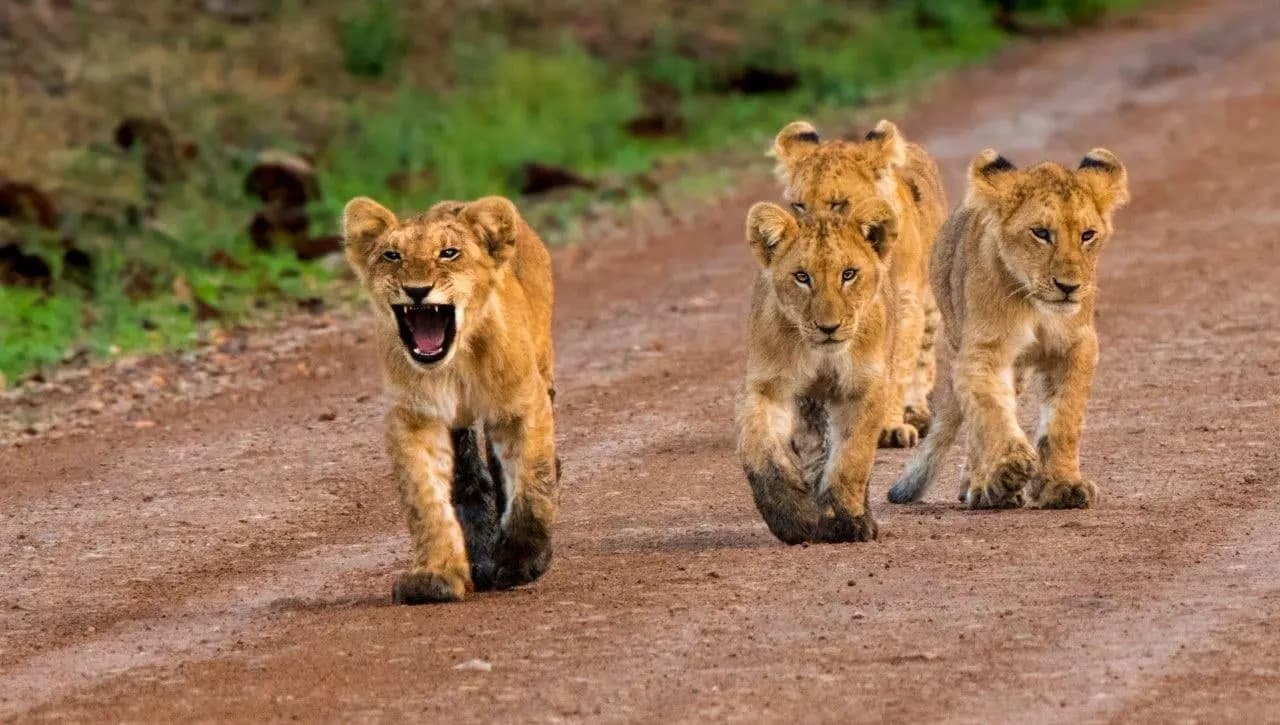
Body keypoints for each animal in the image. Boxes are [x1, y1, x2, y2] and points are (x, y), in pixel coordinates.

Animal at [343, 195, 558, 603]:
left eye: (449, 253)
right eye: (392, 255)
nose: (417, 290)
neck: (456, 363)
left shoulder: (522, 404)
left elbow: (529, 485)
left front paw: (521, 562)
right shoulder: (415, 417)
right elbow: (425, 499)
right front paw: (435, 576)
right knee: (469, 476)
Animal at [736, 199, 902, 544]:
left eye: (848, 274)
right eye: (802, 277)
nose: (829, 327)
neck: (821, 357)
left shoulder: (866, 386)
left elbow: (852, 455)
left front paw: (845, 520)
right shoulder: (767, 387)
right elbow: (762, 453)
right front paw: (792, 519)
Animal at [771, 119, 947, 447]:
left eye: (838, 203)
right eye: (798, 205)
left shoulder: (905, 304)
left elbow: (896, 366)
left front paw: (890, 427)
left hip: (930, 302)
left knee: (923, 360)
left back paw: (916, 413)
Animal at [887, 148, 1129, 509]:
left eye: (1088, 235)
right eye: (1041, 233)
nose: (1068, 287)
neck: (1036, 306)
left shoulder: (1077, 347)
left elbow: (1064, 421)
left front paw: (1063, 486)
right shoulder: (982, 351)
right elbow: (991, 413)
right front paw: (1010, 468)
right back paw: (984, 487)